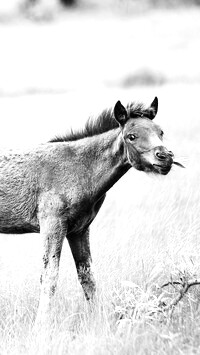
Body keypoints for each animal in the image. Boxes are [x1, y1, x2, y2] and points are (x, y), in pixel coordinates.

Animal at [0, 97, 178, 322]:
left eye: (160, 131)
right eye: (132, 136)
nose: (165, 157)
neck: (78, 168)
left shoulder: (79, 230)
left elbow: (87, 276)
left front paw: (97, 320)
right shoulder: (52, 226)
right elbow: (49, 277)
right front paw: (41, 326)